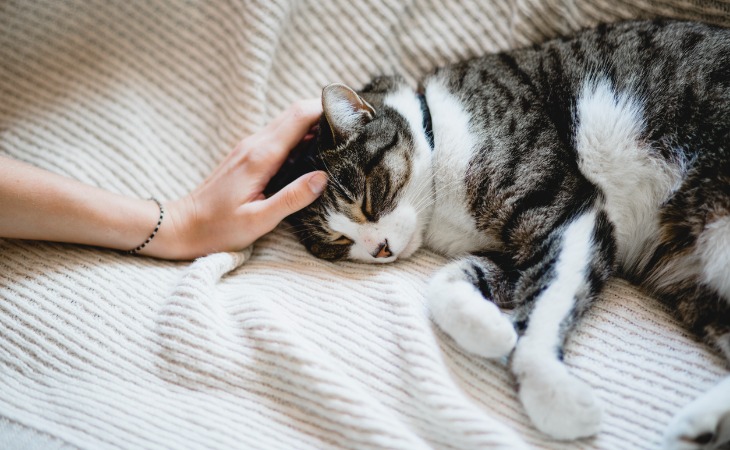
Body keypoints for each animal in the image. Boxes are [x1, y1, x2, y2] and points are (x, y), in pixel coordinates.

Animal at [278, 19, 728, 448]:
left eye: (368, 201)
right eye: (339, 243)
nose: (380, 249)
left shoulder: (568, 211)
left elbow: (545, 300)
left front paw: (550, 392)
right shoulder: (513, 253)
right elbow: (449, 283)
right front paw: (493, 331)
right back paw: (701, 426)